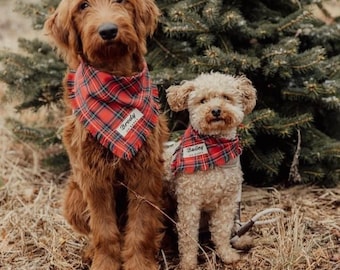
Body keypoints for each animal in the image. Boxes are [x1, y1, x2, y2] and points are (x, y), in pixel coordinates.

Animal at [43, 0, 169, 270]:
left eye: (122, 1)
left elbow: (141, 226)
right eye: (83, 6)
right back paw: (91, 252)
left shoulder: (145, 171)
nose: (108, 30)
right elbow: (103, 228)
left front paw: (139, 263)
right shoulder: (93, 174)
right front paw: (105, 263)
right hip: (73, 197)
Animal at [164, 72, 255, 270]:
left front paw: (226, 254)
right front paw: (188, 263)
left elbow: (221, 230)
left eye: (226, 97)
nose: (215, 111)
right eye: (203, 100)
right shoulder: (189, 203)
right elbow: (188, 238)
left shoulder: (227, 202)